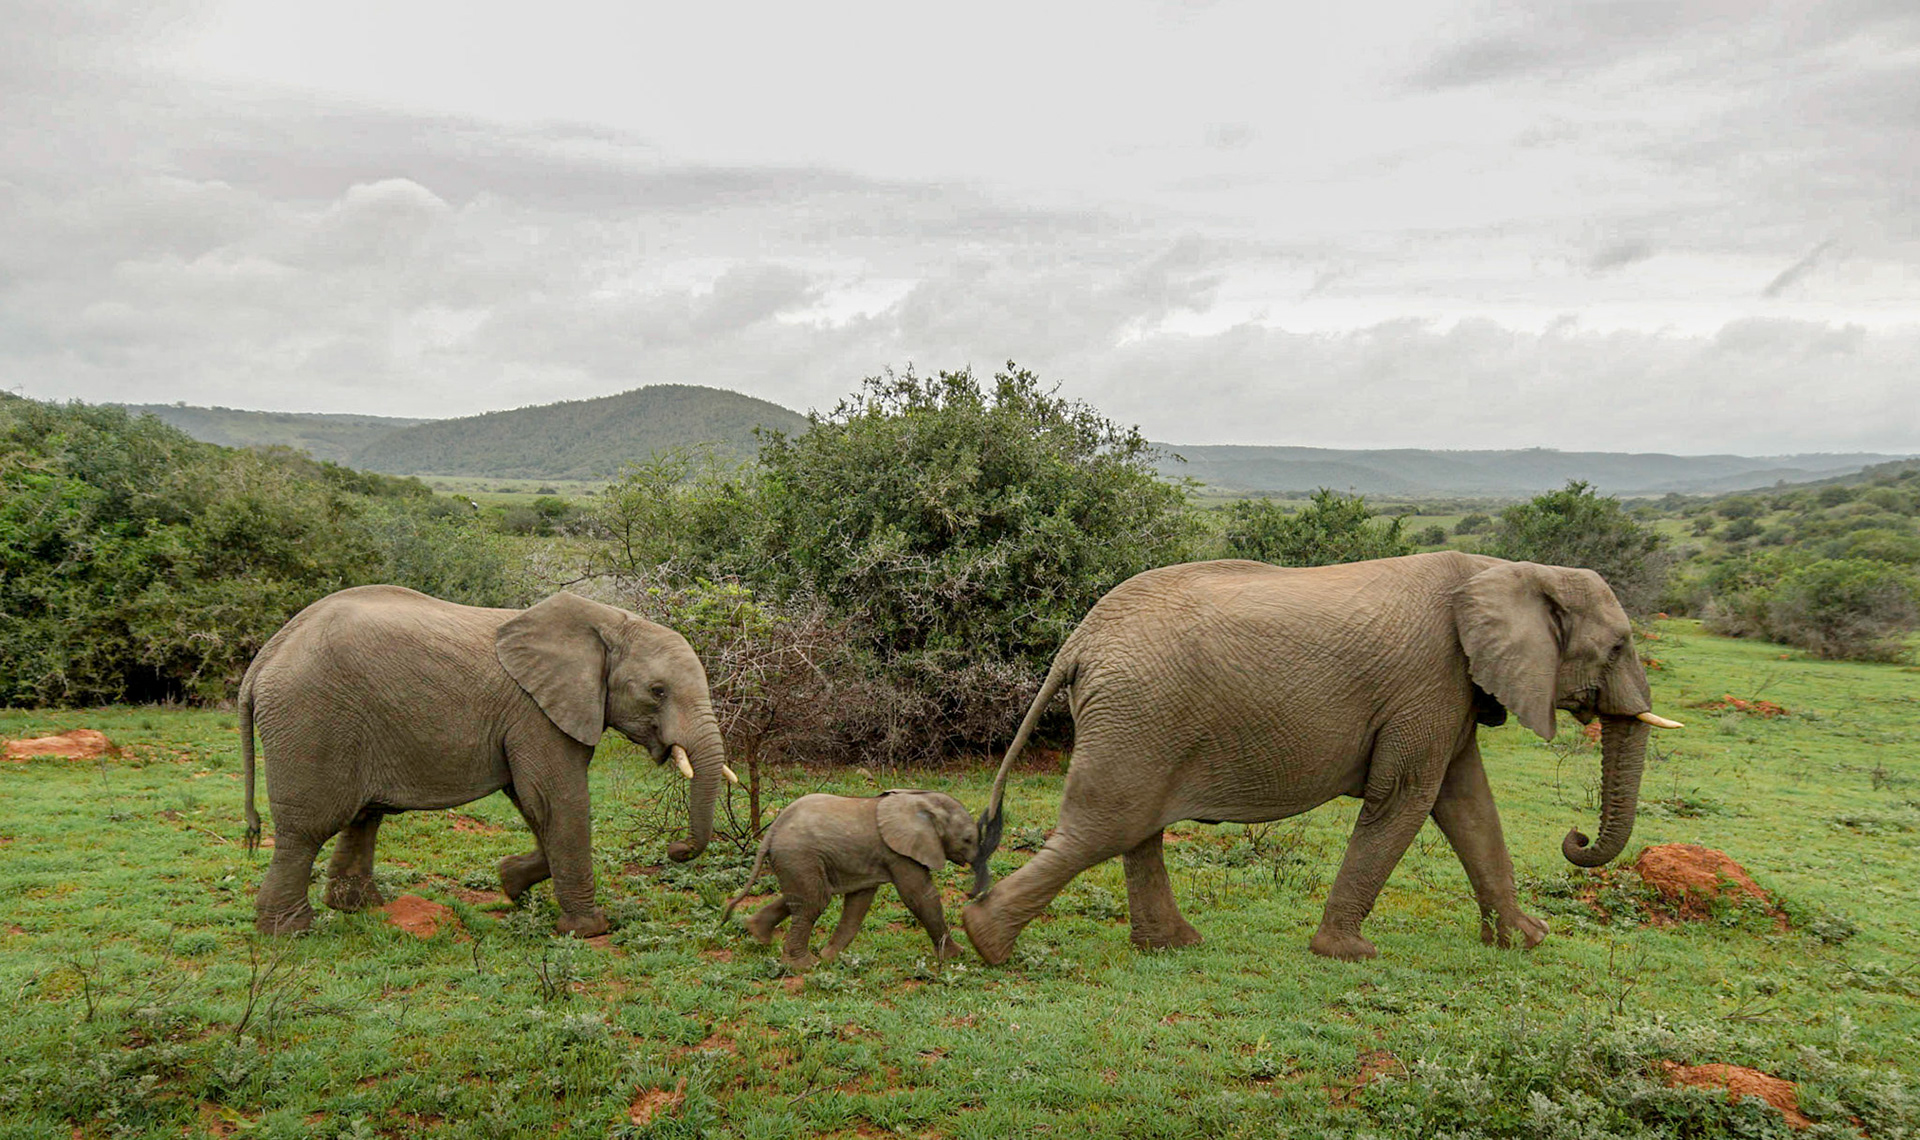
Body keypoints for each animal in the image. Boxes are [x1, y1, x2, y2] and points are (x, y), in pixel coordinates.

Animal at [240, 585, 736, 937]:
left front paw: (510, 881)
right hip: (311, 720)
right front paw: (590, 930)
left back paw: (359, 907)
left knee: (364, 817)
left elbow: (534, 803)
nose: (675, 850)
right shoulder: (537, 712)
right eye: (658, 691)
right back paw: (289, 931)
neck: (608, 621)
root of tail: (265, 657)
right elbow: (558, 800)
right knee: (306, 830)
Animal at [720, 790, 979, 969]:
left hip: (795, 860)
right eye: (967, 839)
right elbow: (921, 896)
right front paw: (957, 955)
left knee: (804, 896)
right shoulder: (899, 853)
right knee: (814, 901)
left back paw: (756, 933)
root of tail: (771, 831)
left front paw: (830, 958)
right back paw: (803, 966)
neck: (922, 801)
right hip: (798, 855)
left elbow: (858, 904)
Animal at [962, 552, 1684, 964]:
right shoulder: (1429, 680)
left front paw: (1527, 941)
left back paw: (1174, 947)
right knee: (1104, 826)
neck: (1512, 569)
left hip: (1140, 717)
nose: (1576, 837)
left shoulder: (1451, 690)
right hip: (1139, 710)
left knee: (1133, 828)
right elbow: (1408, 797)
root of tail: (1078, 640)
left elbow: (1467, 804)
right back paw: (985, 941)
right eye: (1619, 647)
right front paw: (1350, 953)